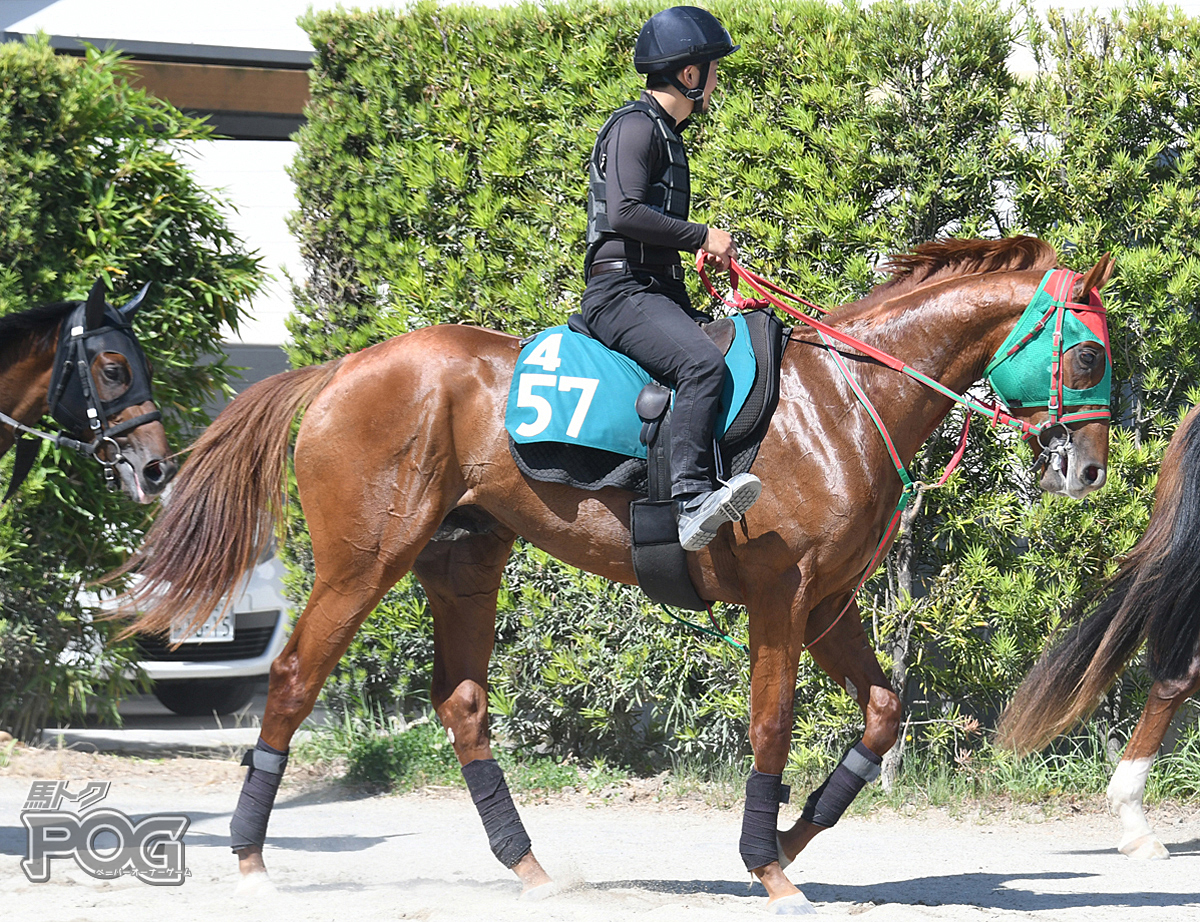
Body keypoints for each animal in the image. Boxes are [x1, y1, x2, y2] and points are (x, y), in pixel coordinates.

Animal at [117, 235, 1108, 907]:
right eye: (1090, 351)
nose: (1088, 469)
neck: (843, 401)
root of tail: (348, 365)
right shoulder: (781, 601)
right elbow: (773, 725)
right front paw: (766, 865)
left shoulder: (830, 604)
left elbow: (882, 714)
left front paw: (791, 839)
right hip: (362, 565)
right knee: (293, 678)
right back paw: (250, 859)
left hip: (463, 564)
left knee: (462, 703)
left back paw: (529, 866)